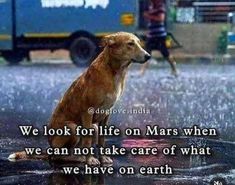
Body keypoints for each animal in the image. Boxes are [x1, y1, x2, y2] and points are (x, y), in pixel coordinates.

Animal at [7, 31, 151, 165]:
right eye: (130, 44)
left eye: (139, 43)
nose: (148, 56)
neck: (114, 72)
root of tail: (50, 148)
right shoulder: (87, 111)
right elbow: (87, 141)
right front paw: (90, 160)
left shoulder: (106, 114)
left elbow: (102, 141)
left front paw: (103, 158)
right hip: (72, 128)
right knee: (58, 157)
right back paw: (77, 158)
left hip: (94, 128)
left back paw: (80, 157)